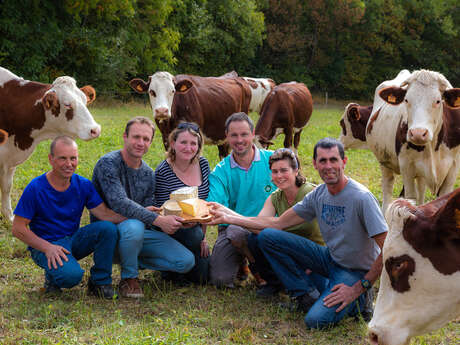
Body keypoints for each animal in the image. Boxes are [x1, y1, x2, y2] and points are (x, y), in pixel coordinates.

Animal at [0, 66, 100, 220]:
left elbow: (6, 187)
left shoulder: (10, 160)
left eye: (85, 101)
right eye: (67, 104)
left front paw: (9, 217)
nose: (95, 129)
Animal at [366, 68, 460, 211]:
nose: (418, 133)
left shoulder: (453, 168)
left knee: (421, 191)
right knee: (388, 188)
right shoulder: (406, 166)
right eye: (406, 100)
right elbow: (410, 198)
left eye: (438, 101)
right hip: (384, 162)